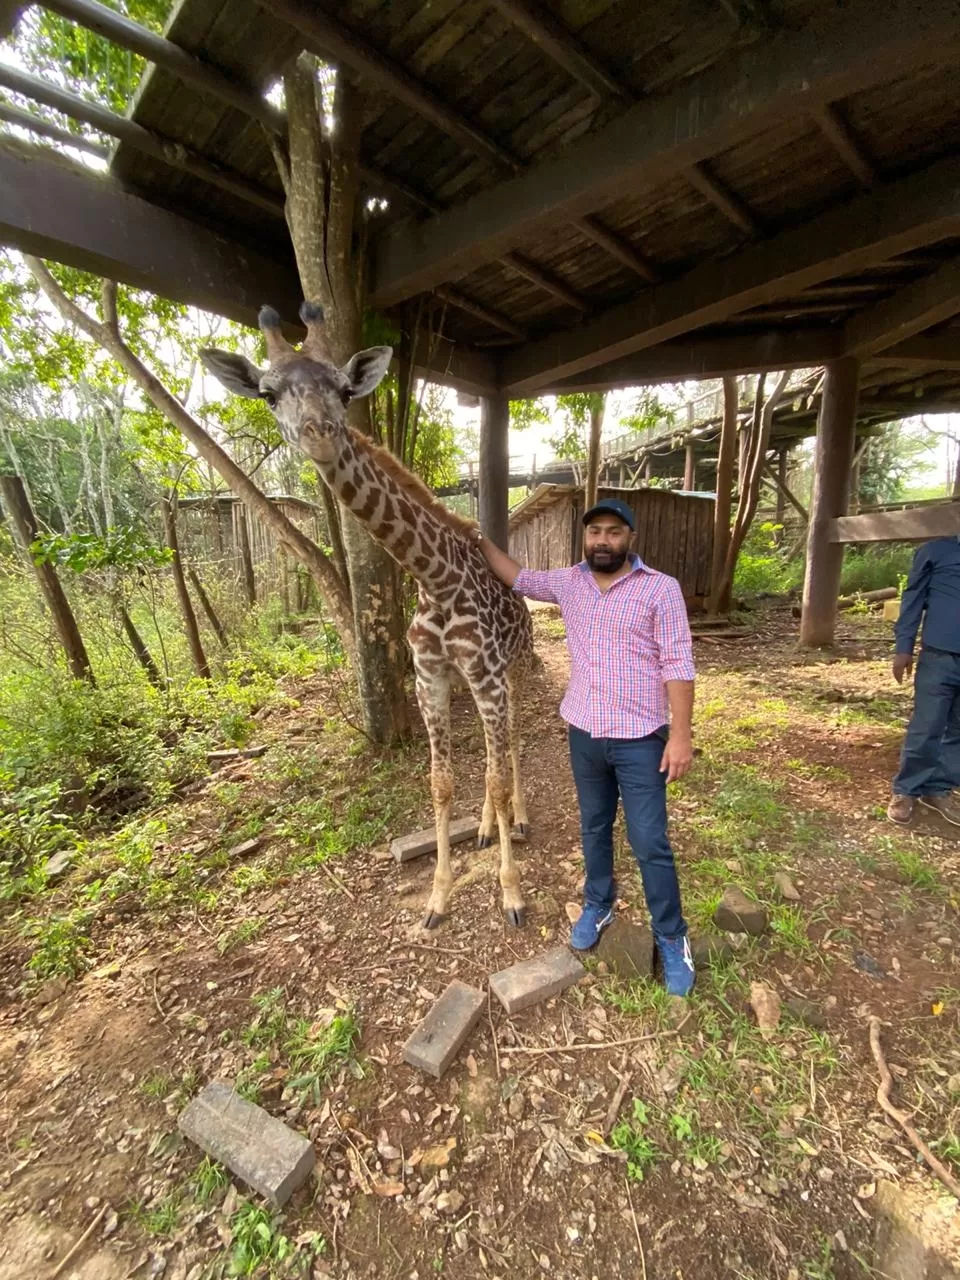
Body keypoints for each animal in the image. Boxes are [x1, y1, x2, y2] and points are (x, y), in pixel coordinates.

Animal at [200, 304, 535, 926]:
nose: (320, 433)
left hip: (512, 672)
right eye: (267, 394)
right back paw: (483, 828)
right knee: (489, 756)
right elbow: (441, 783)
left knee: (510, 749)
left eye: (342, 388)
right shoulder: (431, 679)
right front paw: (438, 896)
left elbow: (498, 777)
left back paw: (518, 819)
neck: (435, 579)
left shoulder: (487, 676)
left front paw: (511, 893)